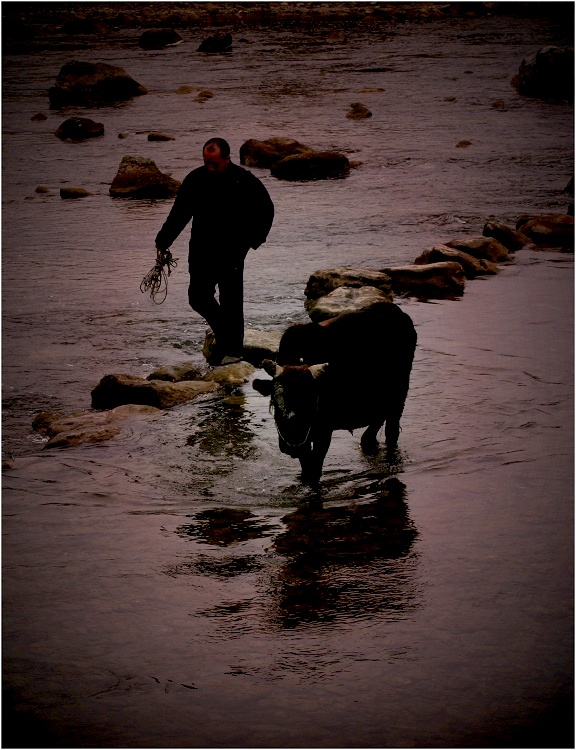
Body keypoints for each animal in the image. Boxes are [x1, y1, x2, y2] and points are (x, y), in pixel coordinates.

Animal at [254, 306, 416, 488]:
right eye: (275, 403)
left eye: (310, 403)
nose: (291, 445)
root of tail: (398, 313)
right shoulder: (306, 440)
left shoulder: (324, 431)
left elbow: (314, 472)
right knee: (370, 434)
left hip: (399, 397)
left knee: (391, 433)